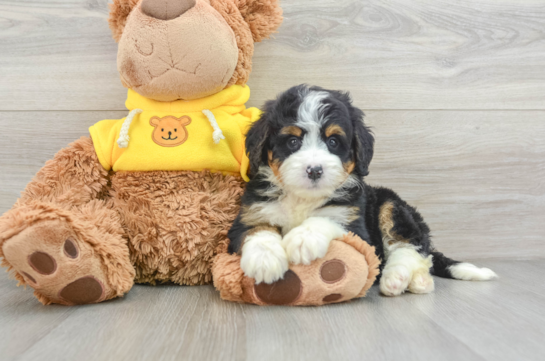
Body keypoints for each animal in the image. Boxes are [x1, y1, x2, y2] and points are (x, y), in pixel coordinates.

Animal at [226, 84, 498, 296]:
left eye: (333, 141)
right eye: (293, 141)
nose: (314, 170)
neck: (303, 199)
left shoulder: (357, 226)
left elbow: (327, 219)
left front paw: (303, 239)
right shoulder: (250, 214)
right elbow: (258, 229)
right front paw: (264, 260)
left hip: (391, 205)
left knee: (412, 247)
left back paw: (400, 278)